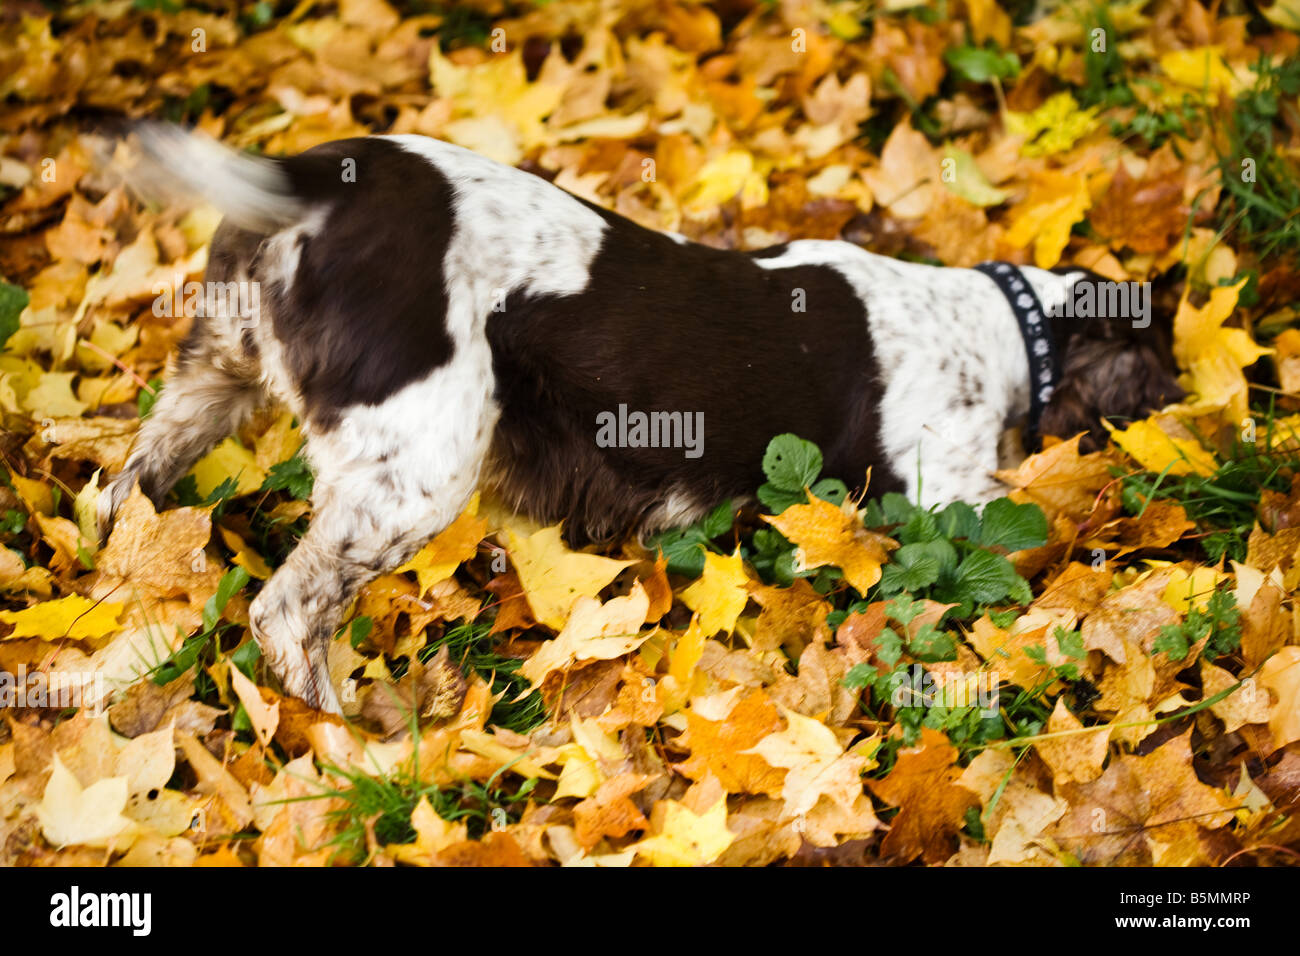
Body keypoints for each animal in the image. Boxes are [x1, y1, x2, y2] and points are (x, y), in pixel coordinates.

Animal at [98, 127, 1180, 712]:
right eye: (1162, 368)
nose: (1185, 411)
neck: (1000, 325)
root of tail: (307, 179)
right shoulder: (951, 494)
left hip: (209, 381)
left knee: (121, 497)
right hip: (420, 462)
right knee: (288, 613)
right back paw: (348, 742)